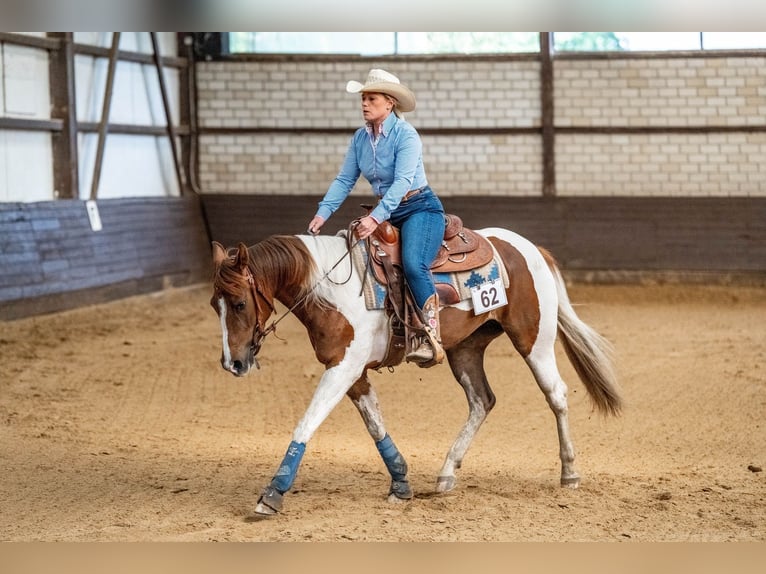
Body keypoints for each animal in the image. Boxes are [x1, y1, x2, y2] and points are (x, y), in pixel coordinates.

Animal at [210, 226, 622, 516]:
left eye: (240, 302)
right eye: (215, 304)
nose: (233, 363)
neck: (330, 289)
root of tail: (532, 248)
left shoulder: (343, 368)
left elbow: (306, 424)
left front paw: (272, 493)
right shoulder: (350, 371)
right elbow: (375, 425)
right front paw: (401, 483)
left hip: (533, 339)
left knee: (556, 394)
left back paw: (569, 472)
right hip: (466, 348)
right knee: (482, 401)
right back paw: (447, 472)